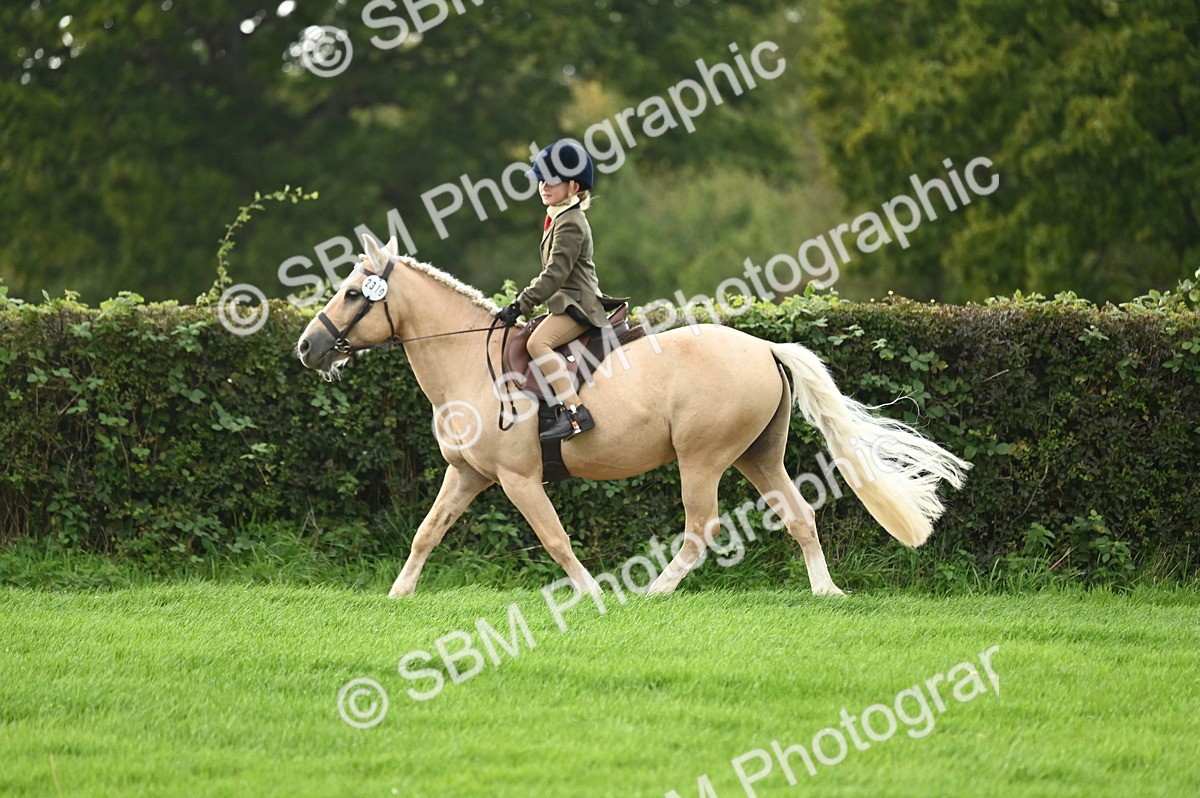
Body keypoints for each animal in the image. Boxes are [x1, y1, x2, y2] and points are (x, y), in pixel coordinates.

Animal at [296, 234, 970, 597]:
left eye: (354, 293)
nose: (307, 347)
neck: (468, 361)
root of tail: (764, 346)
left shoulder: (518, 480)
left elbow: (555, 538)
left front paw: (592, 592)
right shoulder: (467, 474)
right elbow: (427, 532)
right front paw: (398, 593)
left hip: (702, 459)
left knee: (702, 529)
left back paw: (654, 590)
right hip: (758, 456)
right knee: (799, 515)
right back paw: (825, 590)